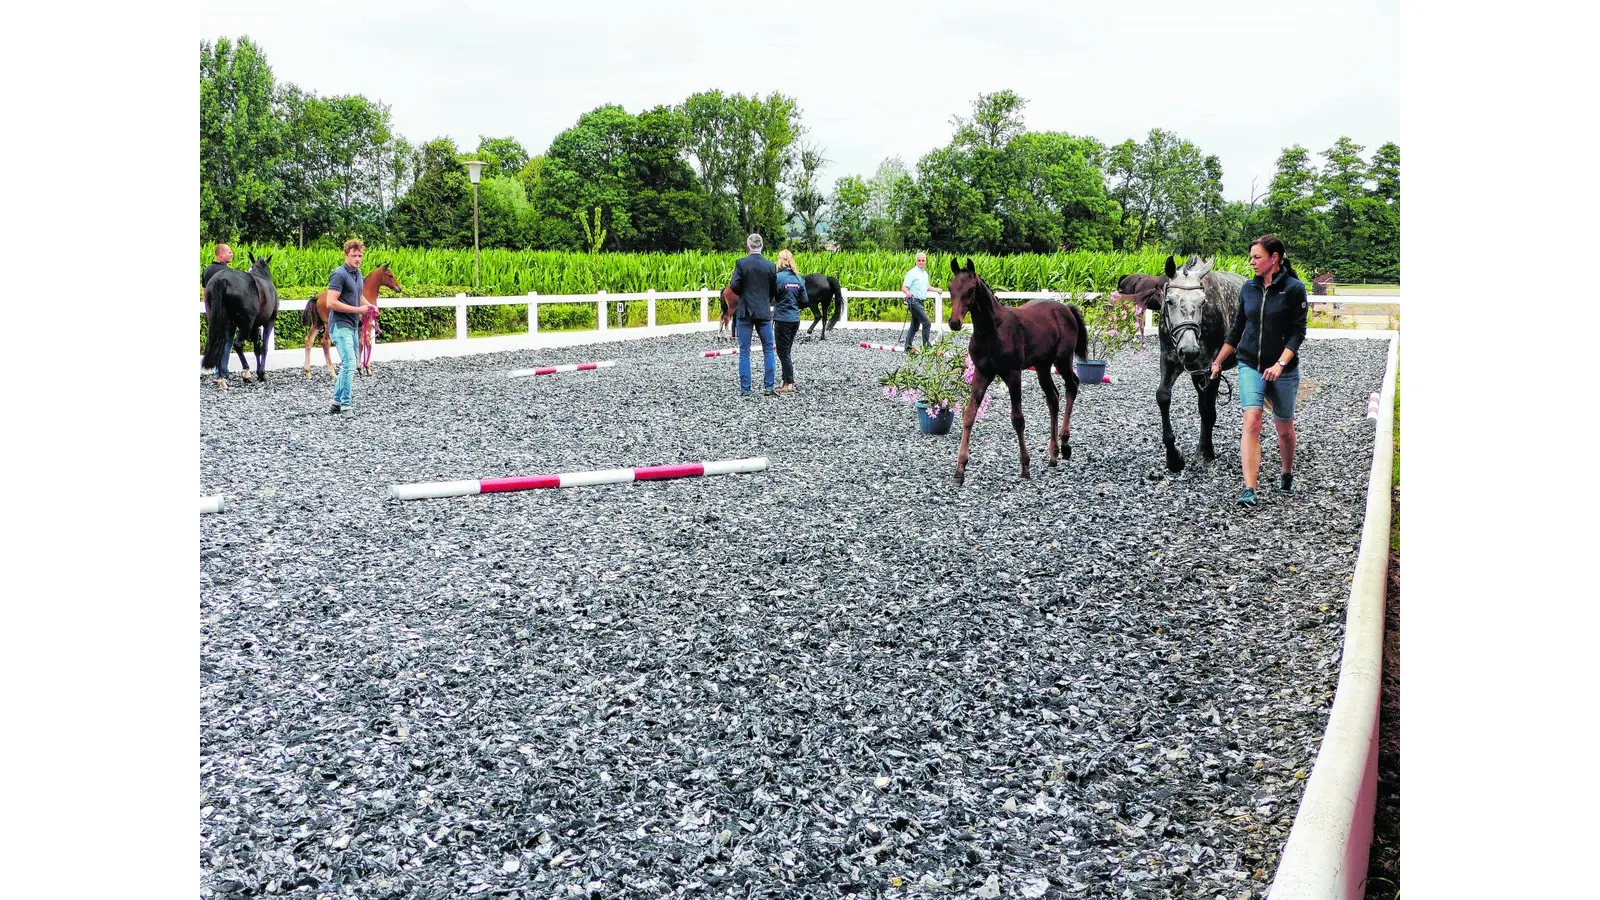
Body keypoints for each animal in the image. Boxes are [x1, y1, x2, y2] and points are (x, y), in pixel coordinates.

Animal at [201, 249, 280, 387]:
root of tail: (221, 280)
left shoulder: (255, 326)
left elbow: (256, 348)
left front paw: (259, 373)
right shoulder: (269, 321)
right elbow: (264, 347)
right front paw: (261, 374)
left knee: (219, 345)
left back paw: (221, 378)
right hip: (246, 323)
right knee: (238, 344)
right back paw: (246, 373)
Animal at [940, 256, 1094, 483]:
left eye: (970, 290)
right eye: (950, 288)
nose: (954, 323)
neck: (991, 331)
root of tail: (1066, 308)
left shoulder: (1013, 374)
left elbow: (1017, 419)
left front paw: (1025, 467)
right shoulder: (982, 372)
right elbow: (969, 414)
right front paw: (960, 470)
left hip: (1062, 360)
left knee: (1072, 385)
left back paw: (1065, 445)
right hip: (1042, 366)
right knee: (1053, 398)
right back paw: (1053, 453)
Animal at [1164, 254, 1248, 470]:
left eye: (1203, 302)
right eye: (1169, 301)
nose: (1189, 350)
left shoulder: (1211, 368)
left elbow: (1207, 410)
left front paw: (1205, 452)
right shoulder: (1169, 360)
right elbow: (1163, 396)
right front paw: (1174, 457)